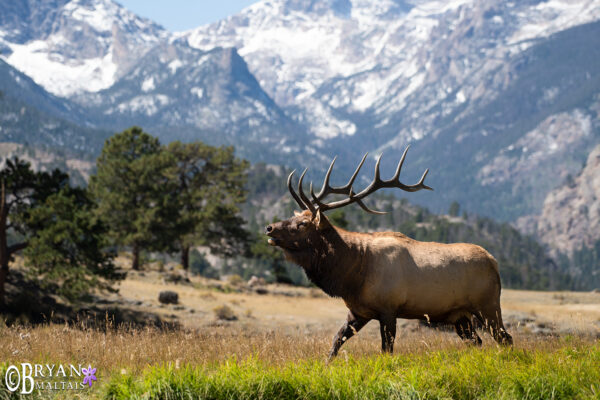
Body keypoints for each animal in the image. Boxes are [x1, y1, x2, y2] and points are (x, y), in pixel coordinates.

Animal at [266, 147, 510, 360]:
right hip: (460, 316)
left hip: (487, 305)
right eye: (293, 217)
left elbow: (386, 350)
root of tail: (494, 262)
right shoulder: (359, 311)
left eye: (302, 224)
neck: (351, 275)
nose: (269, 228)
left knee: (505, 338)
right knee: (478, 341)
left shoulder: (389, 309)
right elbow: (336, 341)